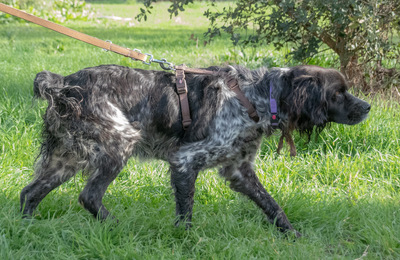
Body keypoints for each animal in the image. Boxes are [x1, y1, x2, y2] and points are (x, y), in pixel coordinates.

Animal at [21, 64, 372, 237]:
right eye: (339, 93)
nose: (368, 107)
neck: (256, 96)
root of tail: (64, 84)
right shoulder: (185, 161)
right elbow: (186, 214)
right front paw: (186, 242)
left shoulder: (239, 171)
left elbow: (272, 205)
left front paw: (293, 235)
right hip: (119, 142)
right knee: (89, 196)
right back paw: (118, 227)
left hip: (67, 158)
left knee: (29, 192)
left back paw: (26, 229)